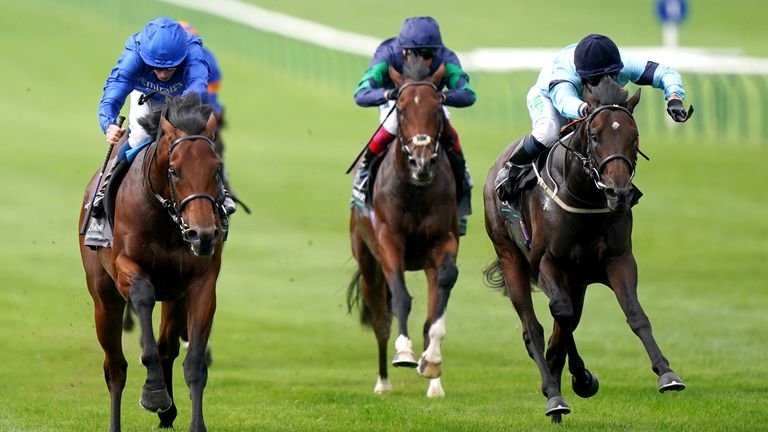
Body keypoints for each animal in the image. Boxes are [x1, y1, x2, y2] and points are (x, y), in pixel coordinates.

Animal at [80, 93, 226, 430]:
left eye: (216, 169)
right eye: (173, 170)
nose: (203, 234)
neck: (167, 219)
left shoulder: (200, 284)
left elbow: (194, 361)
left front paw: (192, 421)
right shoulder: (126, 269)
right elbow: (143, 297)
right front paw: (154, 393)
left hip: (174, 298)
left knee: (166, 348)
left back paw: (168, 415)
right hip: (103, 297)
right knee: (115, 367)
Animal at [350, 58, 462, 398]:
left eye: (437, 108)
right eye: (400, 109)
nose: (421, 163)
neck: (416, 191)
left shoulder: (443, 239)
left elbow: (440, 296)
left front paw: (432, 363)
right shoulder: (388, 241)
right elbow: (400, 296)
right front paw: (404, 353)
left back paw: (434, 383)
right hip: (367, 259)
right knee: (380, 319)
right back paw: (383, 381)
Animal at [484, 77, 688, 422]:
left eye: (634, 136)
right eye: (594, 136)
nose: (619, 192)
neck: (584, 196)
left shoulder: (618, 260)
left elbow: (635, 315)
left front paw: (667, 373)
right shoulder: (547, 262)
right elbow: (559, 315)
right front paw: (572, 381)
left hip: (575, 281)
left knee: (560, 330)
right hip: (511, 258)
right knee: (534, 329)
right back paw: (554, 395)